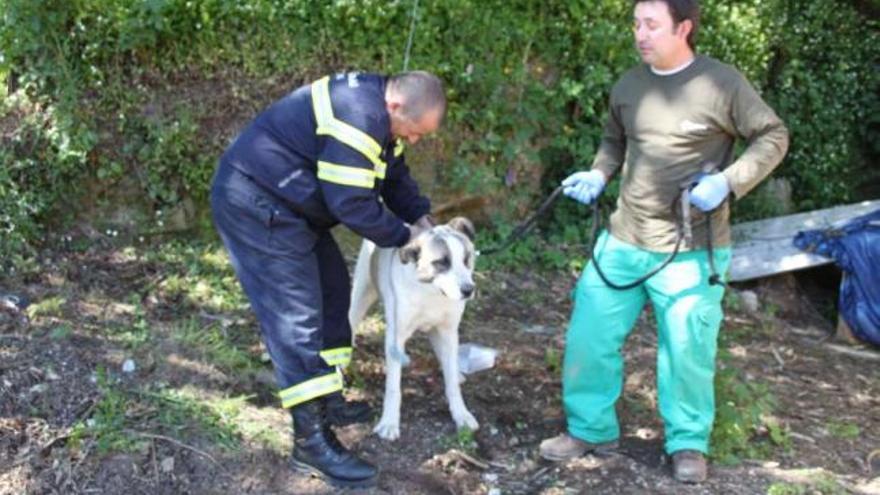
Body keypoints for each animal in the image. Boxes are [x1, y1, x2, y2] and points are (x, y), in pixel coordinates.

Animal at [348, 217, 478, 442]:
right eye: (442, 262)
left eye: (466, 259)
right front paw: (389, 423)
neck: (430, 292)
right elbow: (393, 388)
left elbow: (451, 382)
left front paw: (461, 414)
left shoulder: (448, 331)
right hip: (360, 297)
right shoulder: (395, 338)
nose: (468, 290)